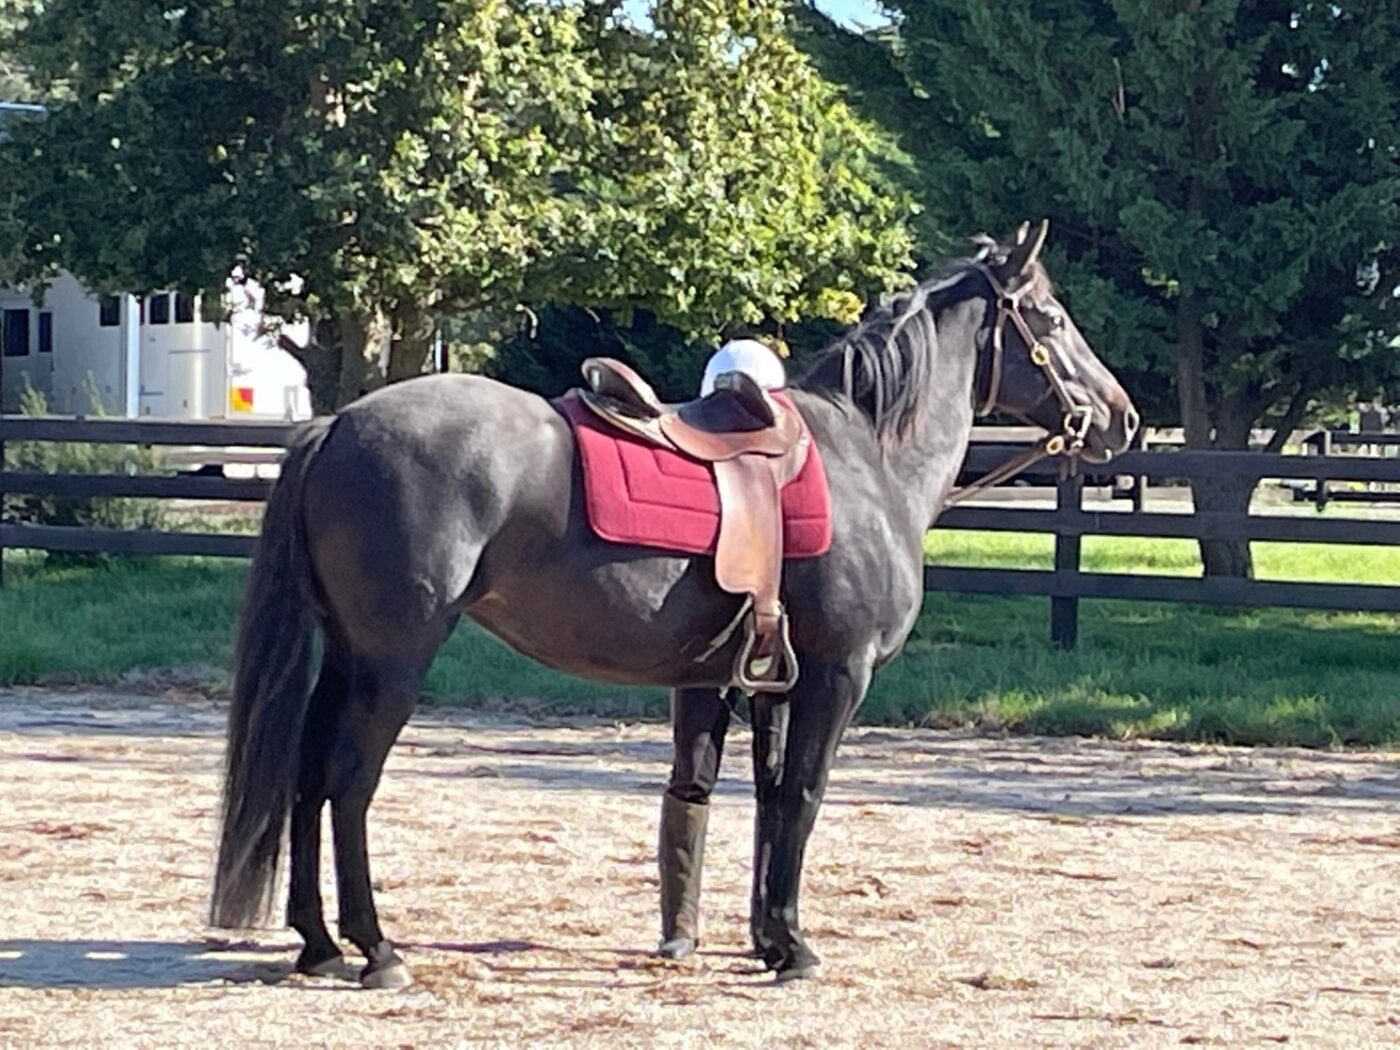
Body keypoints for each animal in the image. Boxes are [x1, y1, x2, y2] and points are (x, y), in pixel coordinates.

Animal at [209, 221, 1138, 988]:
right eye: (1050, 319)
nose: (1121, 420)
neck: (864, 458)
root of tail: (336, 425)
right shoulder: (837, 675)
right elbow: (804, 796)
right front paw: (796, 949)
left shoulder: (764, 682)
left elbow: (767, 799)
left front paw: (768, 940)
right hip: (392, 662)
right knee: (348, 781)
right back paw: (376, 949)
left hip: (348, 656)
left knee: (304, 775)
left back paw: (318, 943)